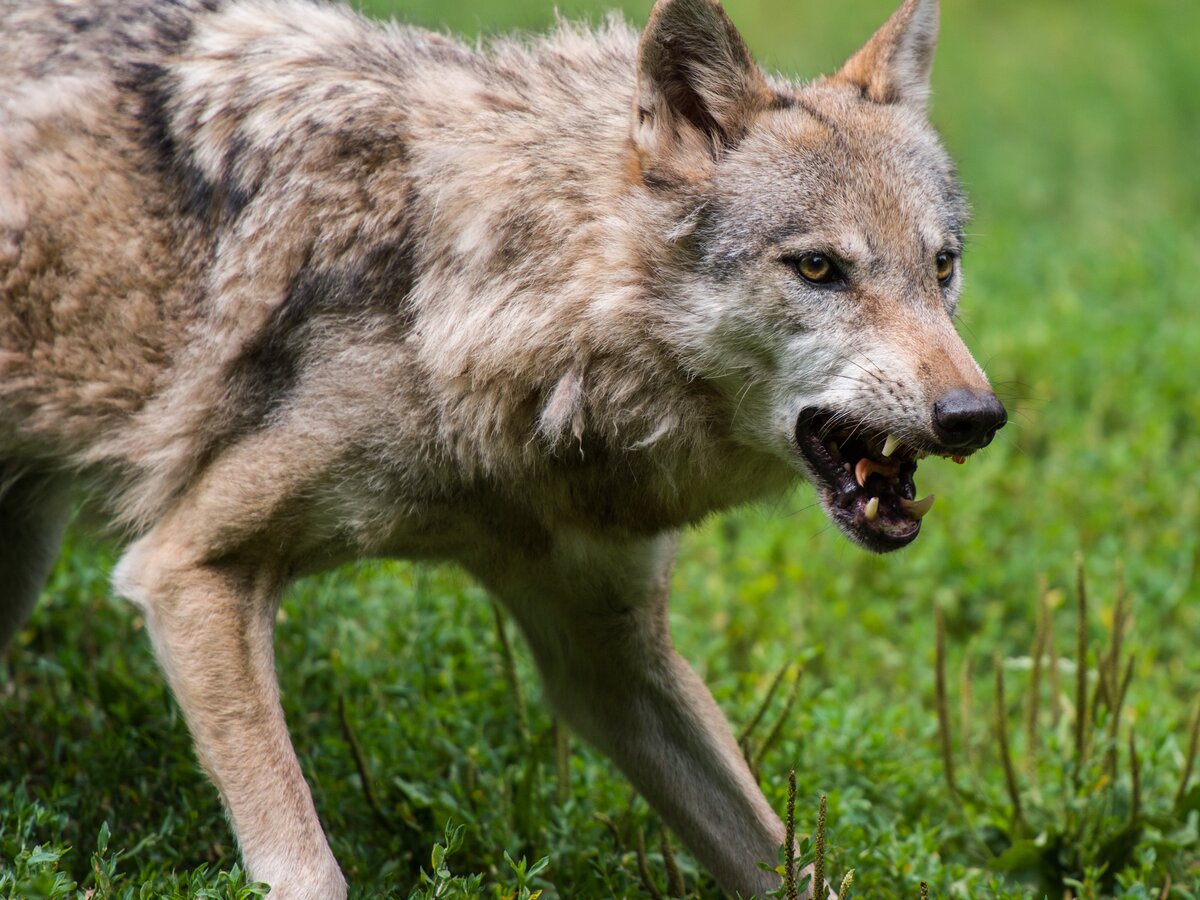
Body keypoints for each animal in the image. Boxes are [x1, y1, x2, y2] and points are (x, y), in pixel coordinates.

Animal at [0, 0, 1008, 897]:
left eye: (942, 265)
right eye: (818, 268)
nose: (975, 416)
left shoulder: (609, 658)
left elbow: (787, 861)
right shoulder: (189, 570)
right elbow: (308, 868)